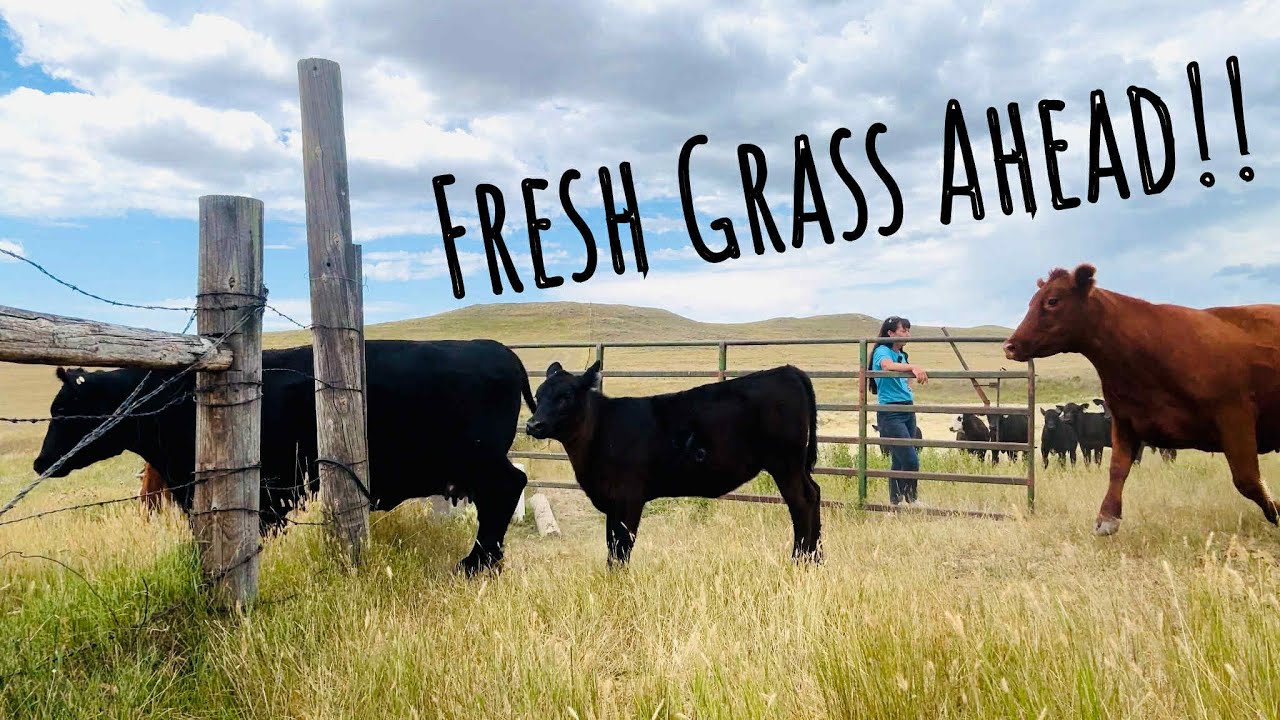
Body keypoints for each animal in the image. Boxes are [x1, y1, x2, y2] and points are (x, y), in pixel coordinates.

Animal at [32, 339, 536, 575]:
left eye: (65, 411)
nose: (41, 463)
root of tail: (499, 351)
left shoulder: (271, 490)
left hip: (481, 461)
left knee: (507, 489)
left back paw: (478, 563)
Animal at [524, 361, 822, 567]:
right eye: (538, 396)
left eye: (565, 397)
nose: (532, 424)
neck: (600, 430)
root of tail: (788, 370)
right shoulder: (611, 504)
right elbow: (612, 547)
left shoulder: (629, 499)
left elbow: (622, 548)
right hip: (796, 465)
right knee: (815, 493)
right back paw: (817, 559)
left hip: (785, 462)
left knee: (801, 502)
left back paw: (800, 561)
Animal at [1003, 263, 1280, 535]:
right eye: (1032, 301)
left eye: (1052, 301)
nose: (1009, 345)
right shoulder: (1125, 421)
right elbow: (1117, 468)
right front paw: (1107, 517)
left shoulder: (1235, 417)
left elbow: (1247, 479)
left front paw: (1275, 511)